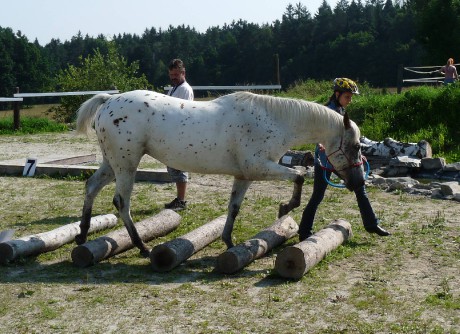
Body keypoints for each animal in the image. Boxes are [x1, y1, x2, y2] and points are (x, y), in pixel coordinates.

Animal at [73, 89, 364, 256]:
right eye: (356, 146)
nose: (357, 182)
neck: (274, 119)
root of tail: (109, 100)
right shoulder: (259, 168)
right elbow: (300, 175)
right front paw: (285, 207)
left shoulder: (244, 176)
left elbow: (233, 208)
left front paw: (228, 241)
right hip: (126, 165)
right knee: (121, 202)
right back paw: (142, 246)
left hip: (113, 164)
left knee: (91, 187)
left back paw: (82, 235)